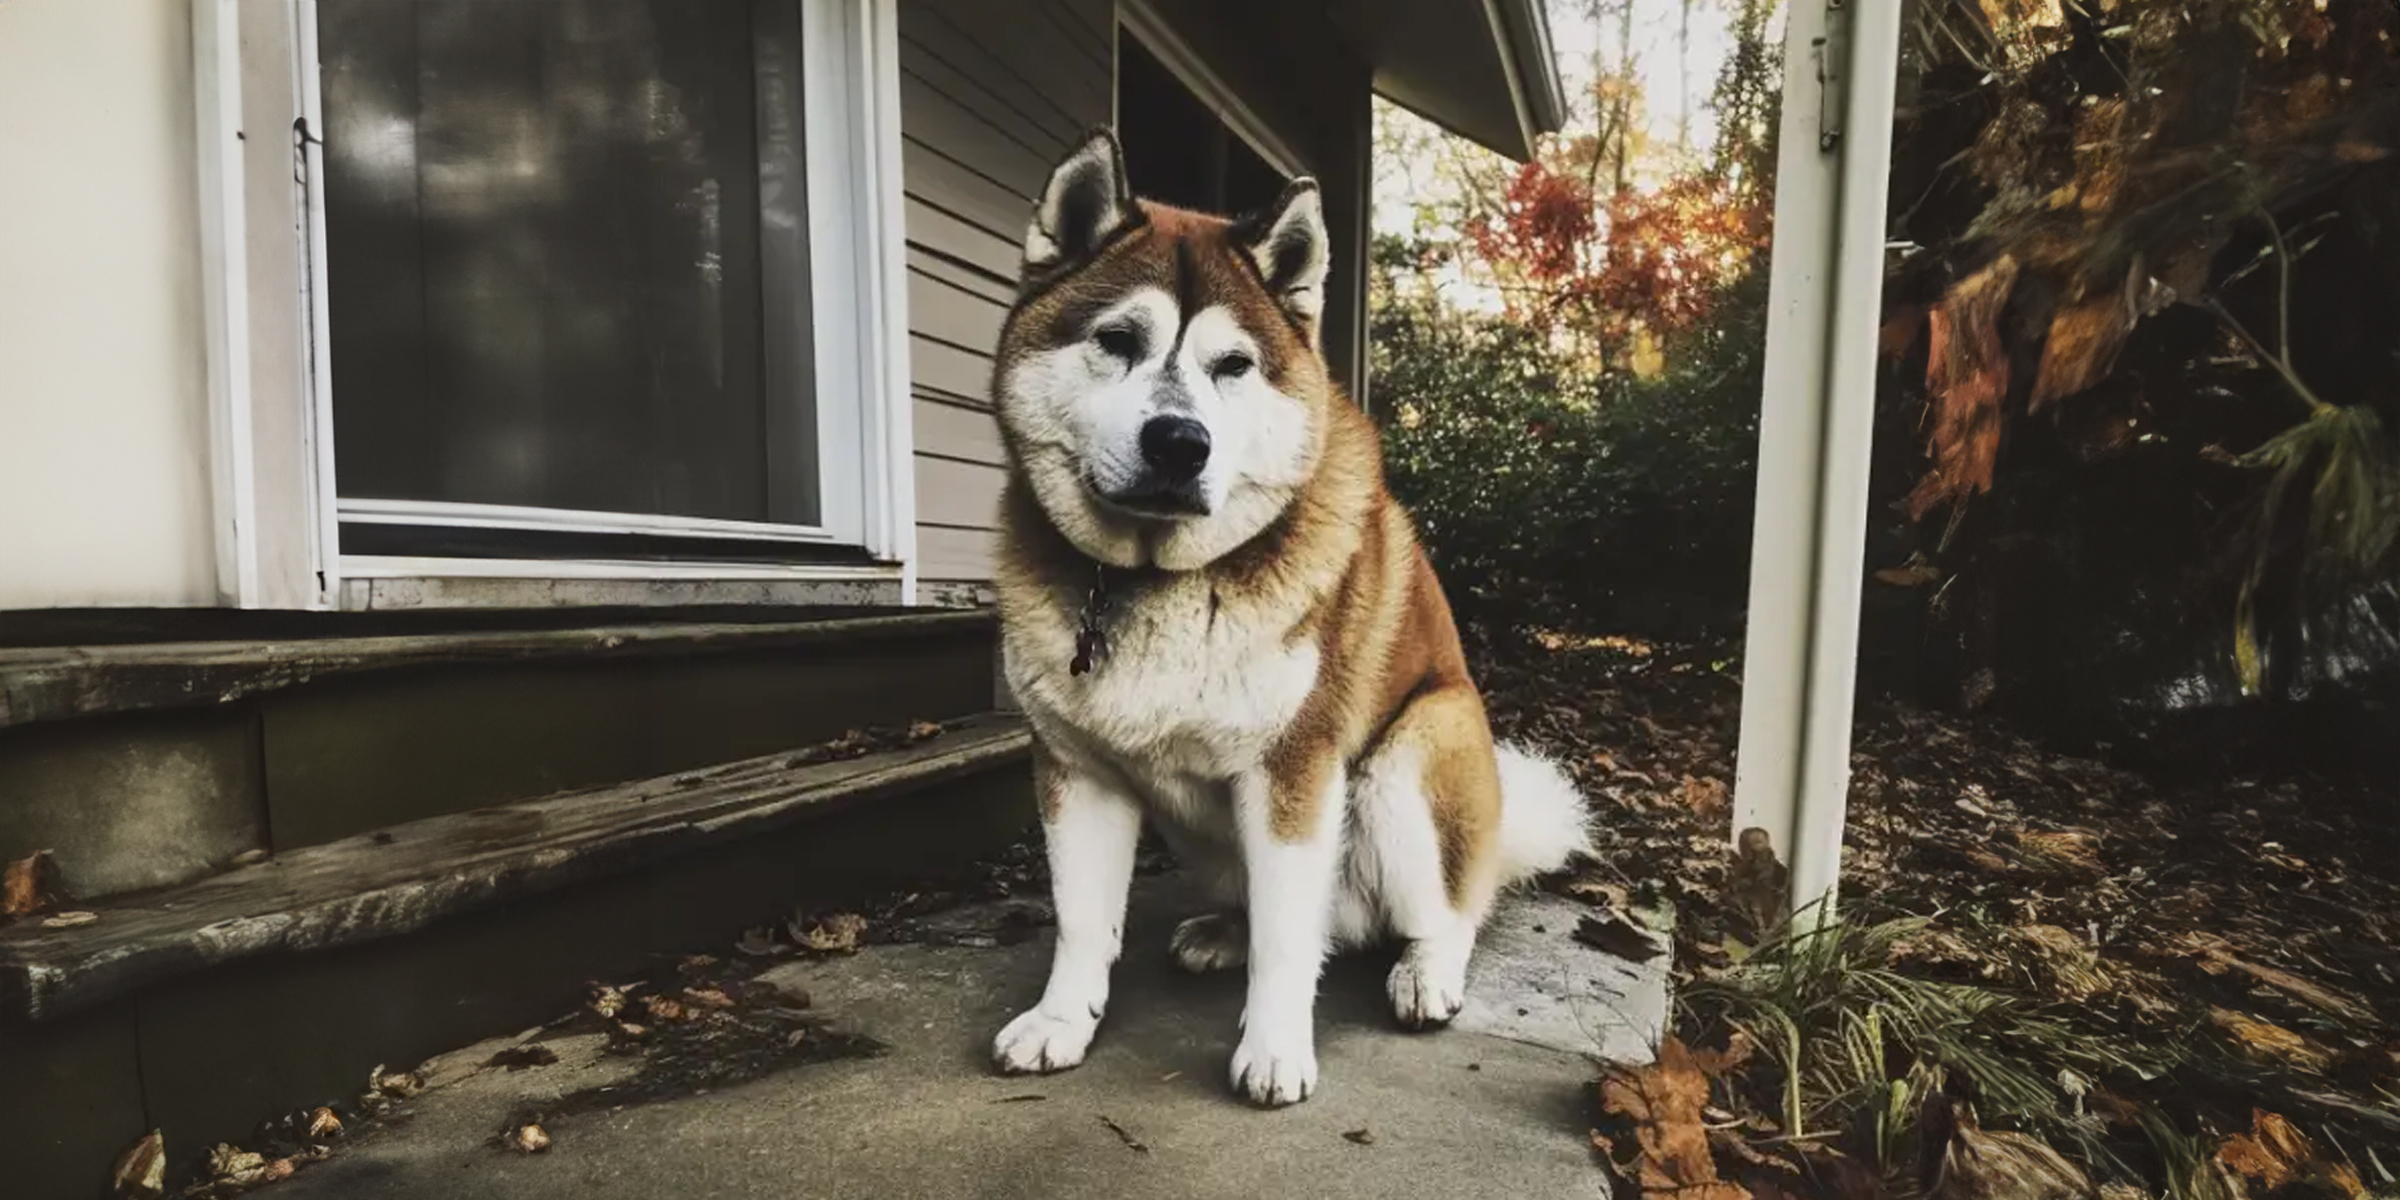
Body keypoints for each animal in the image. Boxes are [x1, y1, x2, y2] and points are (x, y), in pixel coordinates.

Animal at [984, 124, 1584, 1104]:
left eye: (1234, 366)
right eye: (1117, 340)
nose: (1179, 443)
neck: (1154, 581)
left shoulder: (1293, 769)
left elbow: (1287, 939)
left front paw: (1273, 1049)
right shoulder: (1078, 771)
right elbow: (1081, 922)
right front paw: (1061, 1022)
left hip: (1407, 762)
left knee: (1445, 910)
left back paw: (1425, 972)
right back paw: (1222, 933)